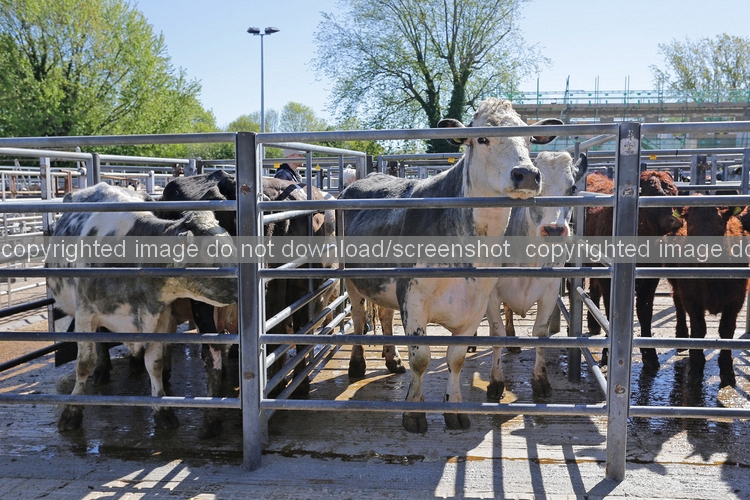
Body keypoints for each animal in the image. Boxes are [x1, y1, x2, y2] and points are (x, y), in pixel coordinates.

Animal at [48, 183, 237, 432]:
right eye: (214, 253)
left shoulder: (160, 318)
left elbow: (155, 363)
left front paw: (163, 410)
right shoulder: (85, 315)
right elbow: (84, 364)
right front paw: (72, 412)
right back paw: (102, 370)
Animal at [340, 98, 561, 433]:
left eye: (528, 140)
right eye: (482, 139)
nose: (526, 174)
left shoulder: (478, 302)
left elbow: (455, 358)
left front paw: (454, 409)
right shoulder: (413, 297)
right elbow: (421, 358)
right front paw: (414, 413)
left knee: (386, 316)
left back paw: (392, 360)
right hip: (350, 280)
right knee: (357, 318)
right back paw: (356, 363)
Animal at [485, 151, 587, 399]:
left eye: (572, 188)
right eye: (537, 188)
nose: (554, 230)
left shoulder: (550, 290)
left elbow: (540, 332)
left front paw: (541, 380)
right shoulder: (491, 291)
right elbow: (496, 331)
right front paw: (495, 381)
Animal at [584, 170, 681, 372]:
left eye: (674, 192)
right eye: (652, 193)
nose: (675, 219)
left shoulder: (650, 278)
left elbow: (645, 312)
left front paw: (650, 355)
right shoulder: (610, 280)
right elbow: (610, 311)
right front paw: (607, 353)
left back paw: (594, 324)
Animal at [668, 201, 748, 387]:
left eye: (720, 222)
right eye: (690, 223)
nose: (704, 253)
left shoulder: (735, 301)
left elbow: (726, 331)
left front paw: (727, 372)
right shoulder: (691, 299)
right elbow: (698, 330)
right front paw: (696, 370)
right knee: (677, 303)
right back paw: (681, 336)